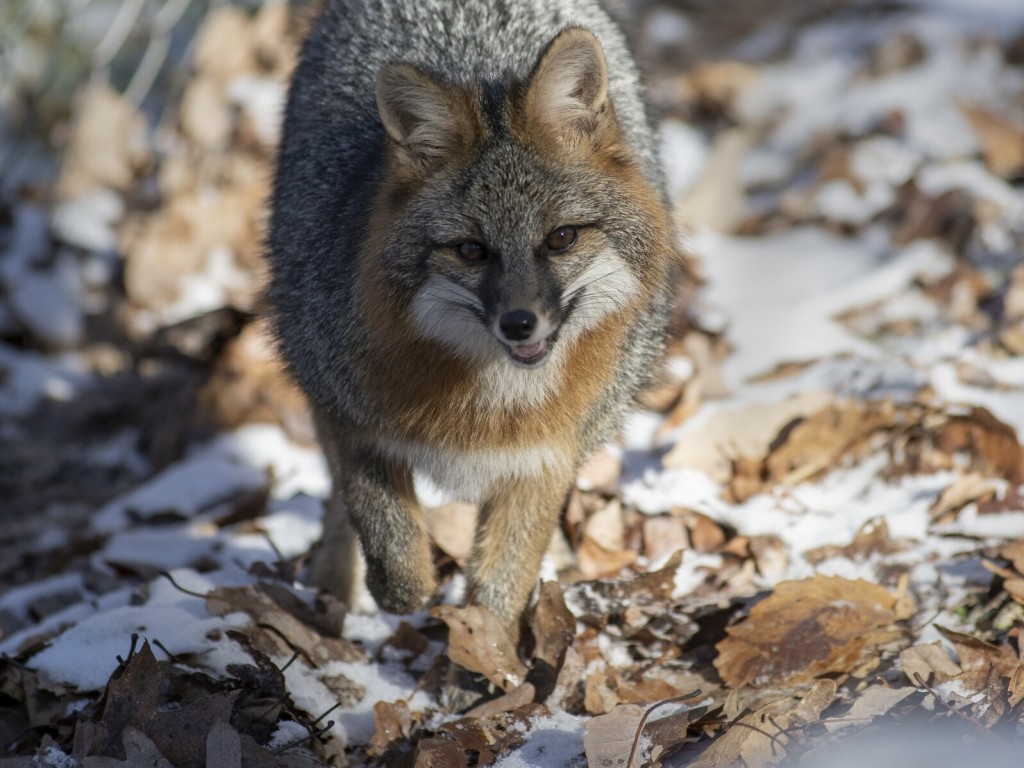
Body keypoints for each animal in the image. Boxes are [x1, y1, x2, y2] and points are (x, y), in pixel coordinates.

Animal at [270, 0, 688, 638]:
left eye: (561, 238)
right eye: (471, 250)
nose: (520, 323)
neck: (490, 402)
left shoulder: (544, 456)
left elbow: (499, 587)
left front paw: (487, 655)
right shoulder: (348, 415)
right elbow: (392, 555)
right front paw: (405, 592)